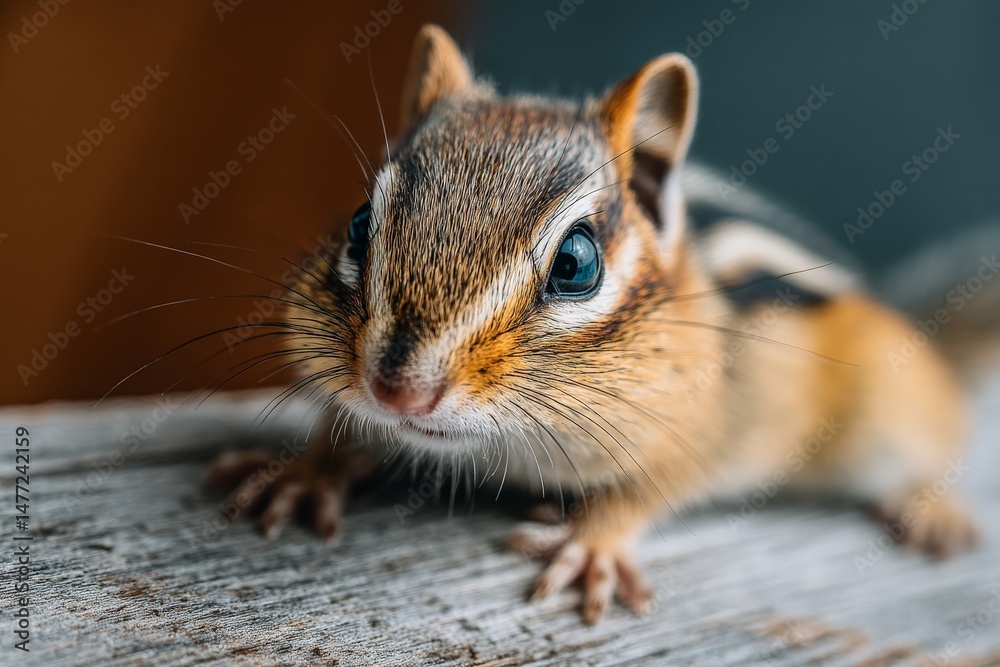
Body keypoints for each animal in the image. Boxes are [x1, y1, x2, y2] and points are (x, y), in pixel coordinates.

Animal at [207, 24, 995, 624]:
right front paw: (304, 471)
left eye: (577, 262)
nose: (398, 391)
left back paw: (931, 506)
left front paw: (592, 545)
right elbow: (341, 423)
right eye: (359, 223)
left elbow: (653, 488)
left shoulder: (704, 422)